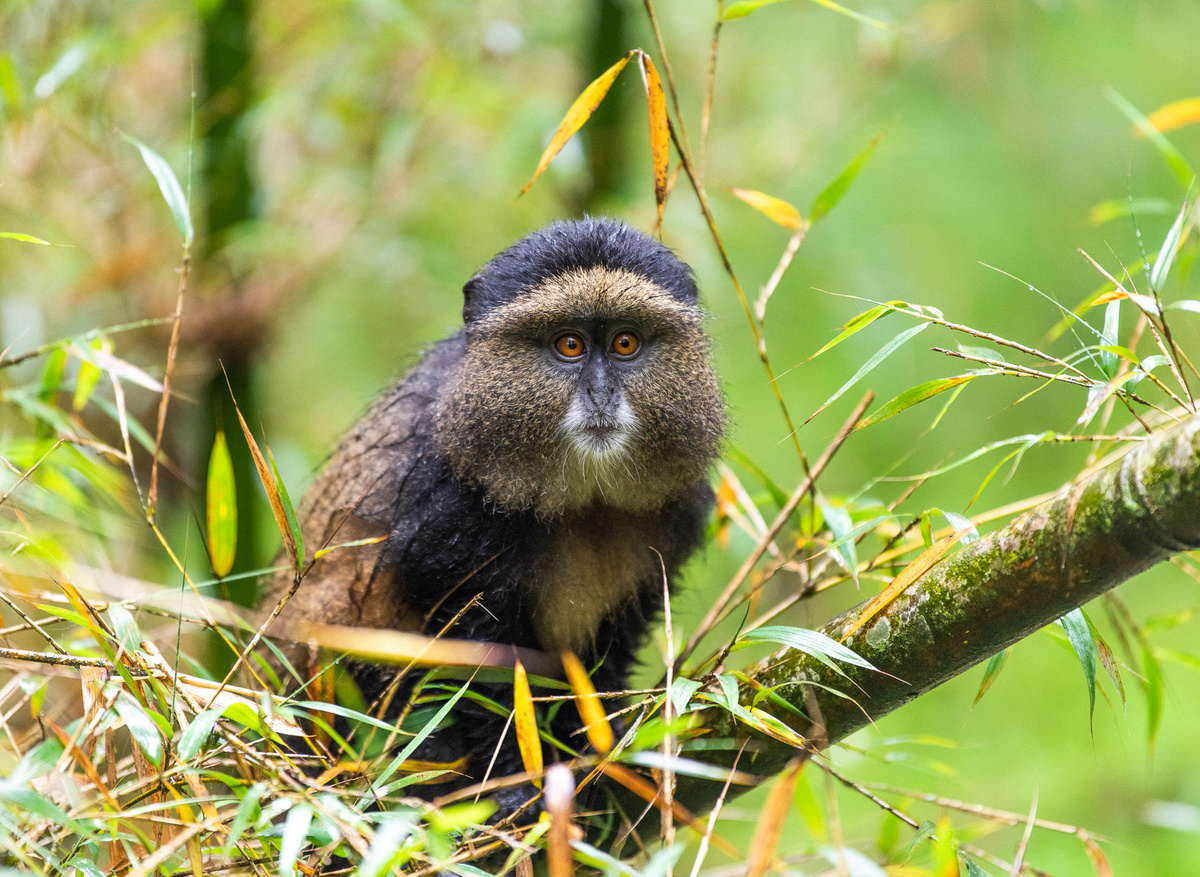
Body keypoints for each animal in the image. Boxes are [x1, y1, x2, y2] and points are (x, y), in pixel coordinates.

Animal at [261, 217, 725, 816]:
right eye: (569, 345)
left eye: (625, 343)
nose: (601, 394)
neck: (582, 498)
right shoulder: (445, 513)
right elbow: (477, 666)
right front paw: (513, 784)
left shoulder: (674, 513)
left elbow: (607, 649)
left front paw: (598, 749)